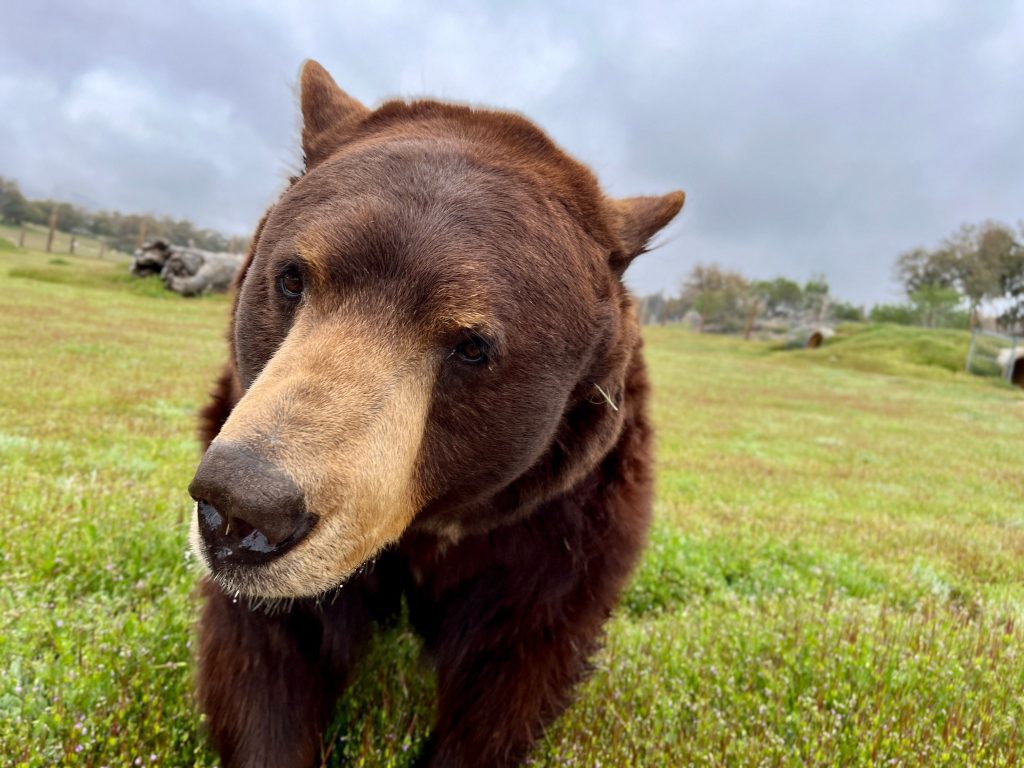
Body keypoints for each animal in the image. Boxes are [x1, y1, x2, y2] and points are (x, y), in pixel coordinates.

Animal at [190, 61, 688, 768]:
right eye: (290, 278)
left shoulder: (561, 525)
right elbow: (265, 658)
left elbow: (512, 673)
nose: (242, 507)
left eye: (472, 346)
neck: (423, 523)